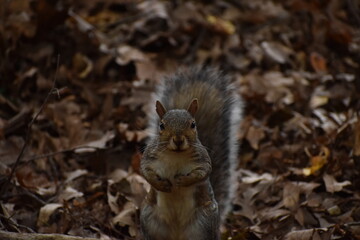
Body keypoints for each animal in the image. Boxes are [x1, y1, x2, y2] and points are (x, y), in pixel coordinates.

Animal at [139, 67, 243, 240]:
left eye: (193, 124)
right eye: (161, 125)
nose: (178, 139)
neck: (175, 155)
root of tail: (176, 235)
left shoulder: (203, 159)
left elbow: (203, 172)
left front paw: (182, 181)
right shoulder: (149, 157)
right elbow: (145, 171)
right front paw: (160, 184)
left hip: (204, 223)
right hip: (148, 219)